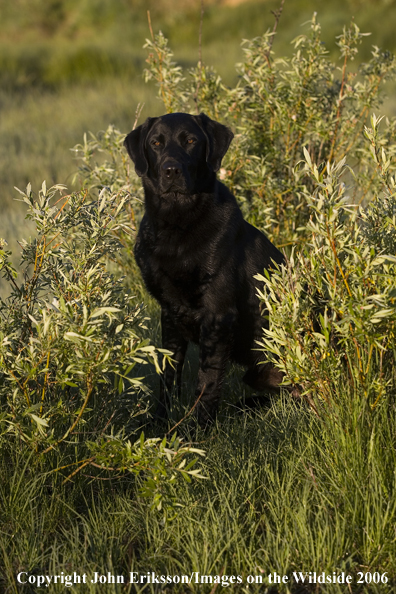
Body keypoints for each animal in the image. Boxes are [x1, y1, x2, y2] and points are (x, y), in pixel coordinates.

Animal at [125, 111, 284, 424]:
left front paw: (196, 429)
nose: (171, 170)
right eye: (156, 143)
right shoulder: (169, 313)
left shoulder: (218, 314)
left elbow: (207, 380)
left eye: (190, 141)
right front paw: (159, 423)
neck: (177, 224)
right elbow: (167, 375)